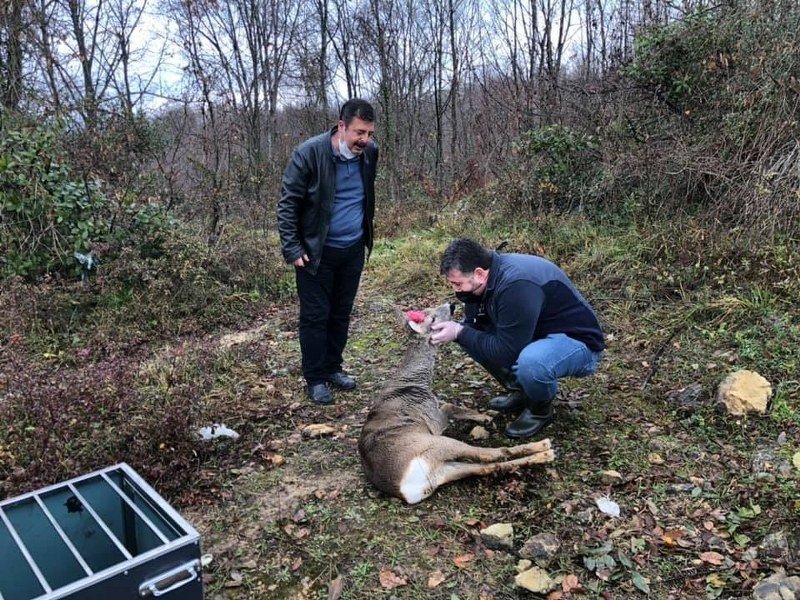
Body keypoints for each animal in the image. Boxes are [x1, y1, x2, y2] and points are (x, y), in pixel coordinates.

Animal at [360, 302, 552, 504]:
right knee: (490, 453)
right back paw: (545, 447)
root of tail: (407, 489)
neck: (414, 380)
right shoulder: (434, 419)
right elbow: (449, 406)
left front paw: (485, 416)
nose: (451, 305)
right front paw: (484, 417)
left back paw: (543, 454)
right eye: (432, 318)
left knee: (485, 467)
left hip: (443, 468)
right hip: (438, 444)